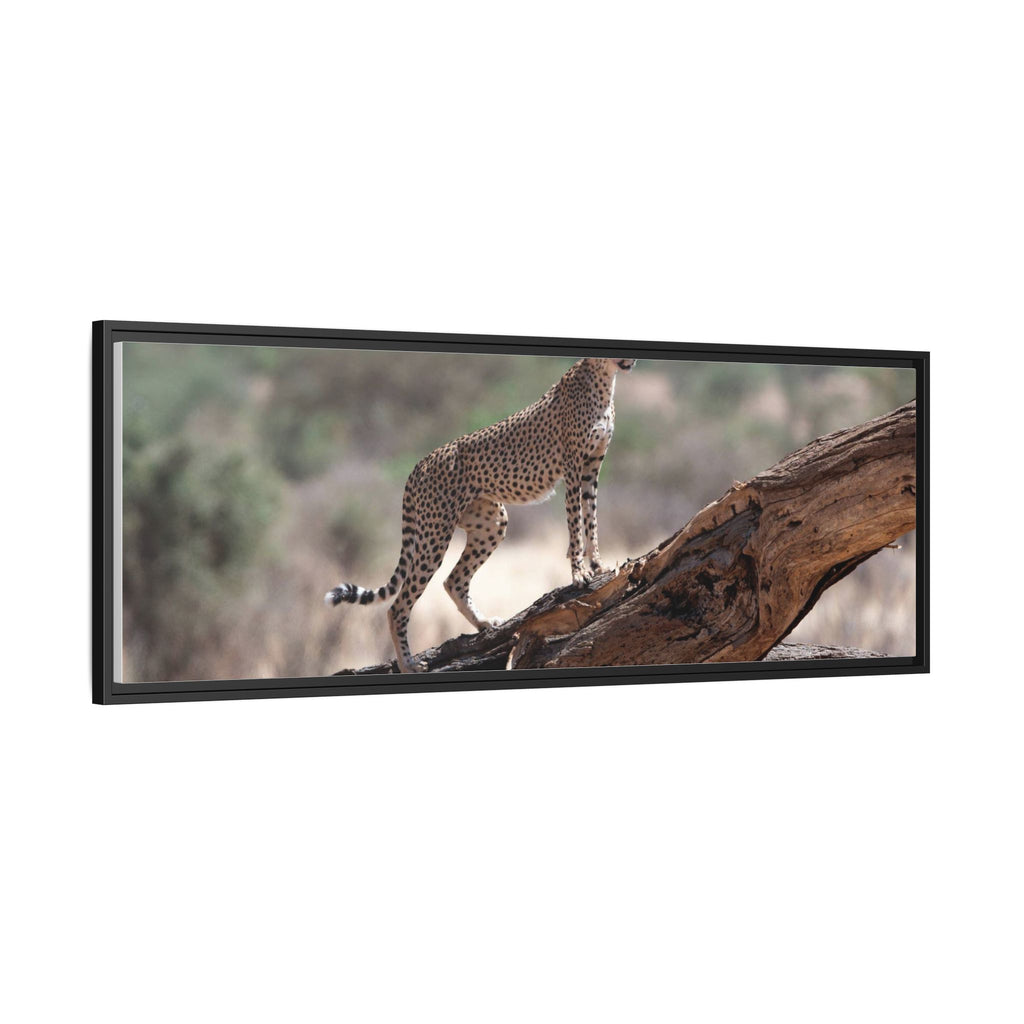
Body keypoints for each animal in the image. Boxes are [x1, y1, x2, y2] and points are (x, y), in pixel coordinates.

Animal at [324, 356, 636, 672]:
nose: (631, 361)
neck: (604, 379)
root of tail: (421, 462)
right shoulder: (573, 467)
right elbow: (575, 523)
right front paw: (579, 573)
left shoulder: (592, 467)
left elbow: (591, 519)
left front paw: (598, 565)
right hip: (435, 534)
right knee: (398, 605)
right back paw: (408, 664)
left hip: (491, 523)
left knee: (453, 581)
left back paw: (484, 623)